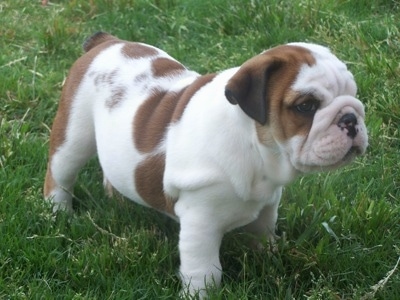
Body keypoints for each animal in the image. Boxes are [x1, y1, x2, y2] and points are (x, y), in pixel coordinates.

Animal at [43, 32, 366, 298]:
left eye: (353, 93)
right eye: (306, 106)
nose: (351, 117)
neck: (256, 147)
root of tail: (106, 42)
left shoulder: (267, 201)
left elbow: (263, 231)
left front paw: (269, 258)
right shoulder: (201, 219)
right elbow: (205, 270)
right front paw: (202, 294)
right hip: (74, 136)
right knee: (60, 174)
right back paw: (59, 214)